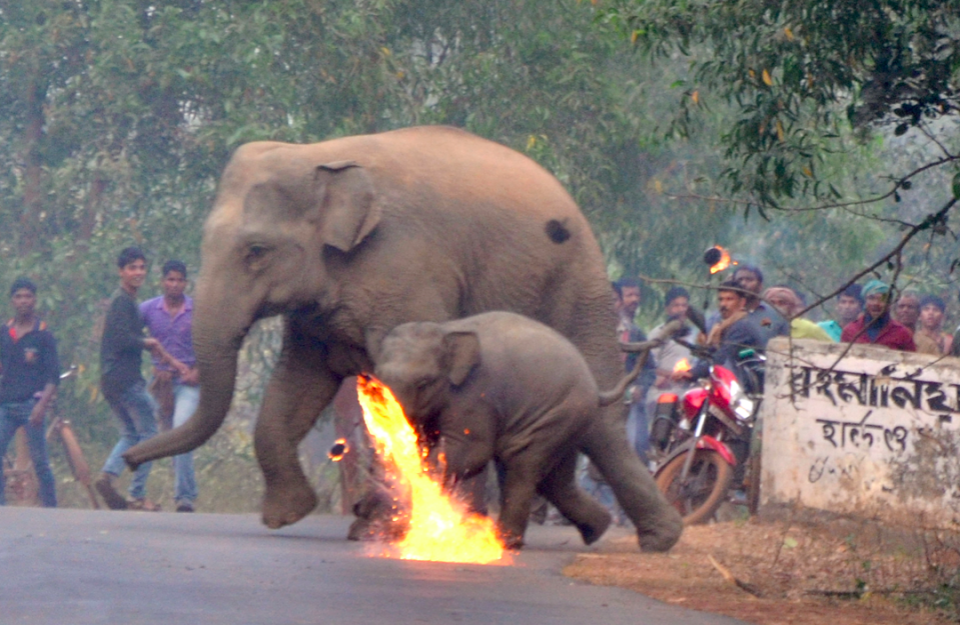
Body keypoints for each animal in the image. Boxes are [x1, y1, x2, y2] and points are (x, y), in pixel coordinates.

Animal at [372, 310, 672, 544]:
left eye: (424, 383)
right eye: (378, 380)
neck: (446, 330)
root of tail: (592, 383)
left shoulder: (475, 395)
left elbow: (471, 451)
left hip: (558, 413)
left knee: (523, 462)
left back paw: (506, 541)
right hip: (565, 421)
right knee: (556, 480)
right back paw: (597, 530)